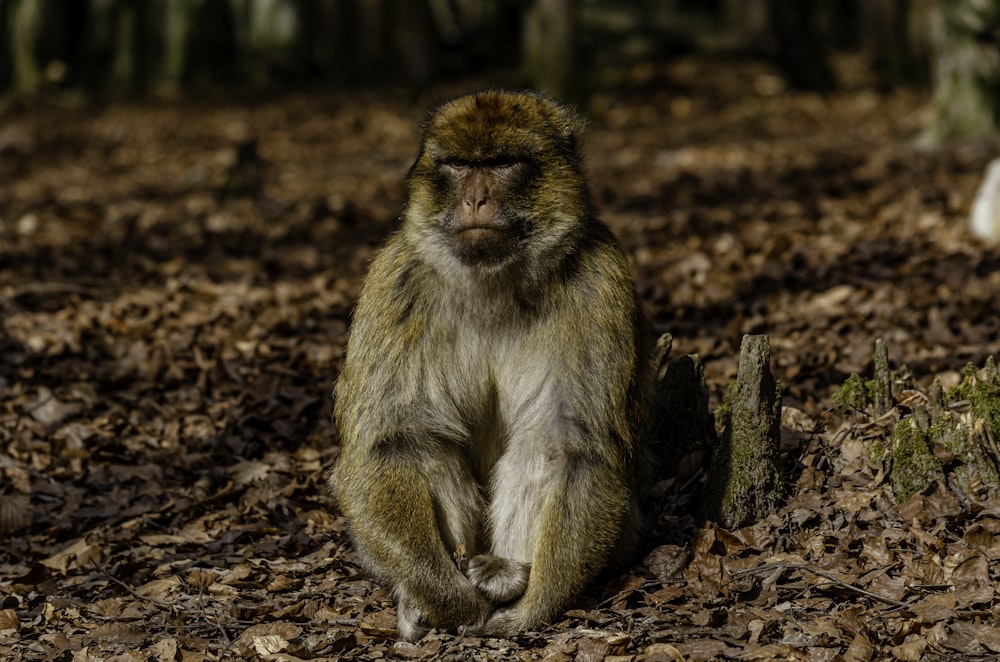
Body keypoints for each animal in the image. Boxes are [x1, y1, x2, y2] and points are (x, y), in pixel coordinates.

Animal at [328, 91, 656, 640]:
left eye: (502, 164)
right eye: (460, 165)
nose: (475, 199)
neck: (493, 283)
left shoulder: (599, 282)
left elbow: (573, 445)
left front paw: (535, 609)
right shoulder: (396, 282)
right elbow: (393, 440)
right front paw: (448, 599)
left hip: (627, 531)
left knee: (541, 447)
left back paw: (508, 574)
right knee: (427, 448)